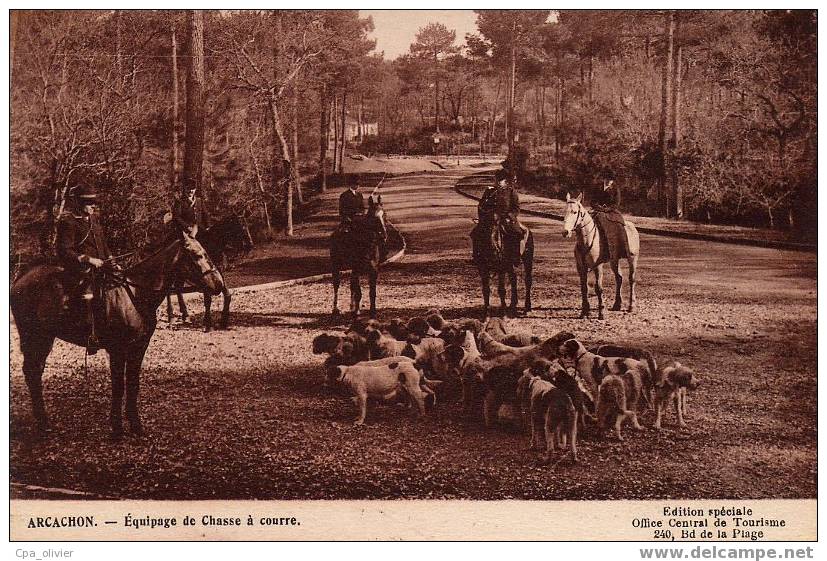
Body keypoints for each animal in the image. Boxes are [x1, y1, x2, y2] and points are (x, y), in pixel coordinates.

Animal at [10, 234, 223, 440]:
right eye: (196, 254)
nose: (219, 284)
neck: (135, 293)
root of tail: (21, 279)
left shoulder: (139, 347)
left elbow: (133, 383)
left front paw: (136, 426)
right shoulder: (117, 349)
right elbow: (119, 385)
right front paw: (117, 428)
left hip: (44, 339)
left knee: (35, 372)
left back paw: (43, 422)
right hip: (35, 337)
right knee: (32, 372)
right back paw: (43, 424)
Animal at [564, 190, 640, 318]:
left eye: (574, 212)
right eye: (564, 211)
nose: (565, 232)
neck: (587, 239)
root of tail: (632, 226)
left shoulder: (597, 267)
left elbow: (598, 288)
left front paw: (601, 312)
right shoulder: (581, 268)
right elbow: (584, 288)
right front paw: (584, 311)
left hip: (632, 258)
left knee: (631, 279)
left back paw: (631, 306)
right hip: (614, 260)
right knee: (619, 278)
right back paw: (617, 304)